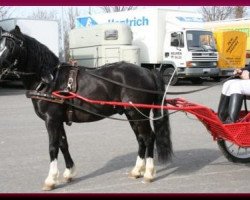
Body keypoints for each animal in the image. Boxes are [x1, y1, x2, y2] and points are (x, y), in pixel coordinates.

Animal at [0, 26, 172, 191]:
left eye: (12, 46)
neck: (49, 80)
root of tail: (147, 71)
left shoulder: (51, 120)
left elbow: (53, 148)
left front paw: (51, 179)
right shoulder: (58, 120)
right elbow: (63, 144)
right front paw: (69, 172)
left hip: (138, 114)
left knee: (149, 137)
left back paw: (148, 173)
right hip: (131, 114)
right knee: (141, 139)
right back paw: (137, 170)